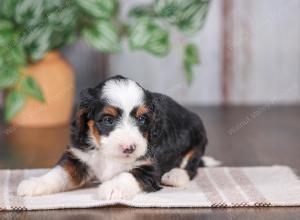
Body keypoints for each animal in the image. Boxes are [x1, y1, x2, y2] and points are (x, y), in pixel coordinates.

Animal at [17, 75, 207, 199]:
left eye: (143, 119)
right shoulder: (79, 157)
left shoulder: (150, 166)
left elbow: (129, 175)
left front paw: (112, 187)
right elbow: (60, 172)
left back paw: (176, 176)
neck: (107, 154)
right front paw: (35, 183)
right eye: (108, 119)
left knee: (192, 165)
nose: (129, 148)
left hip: (198, 135)